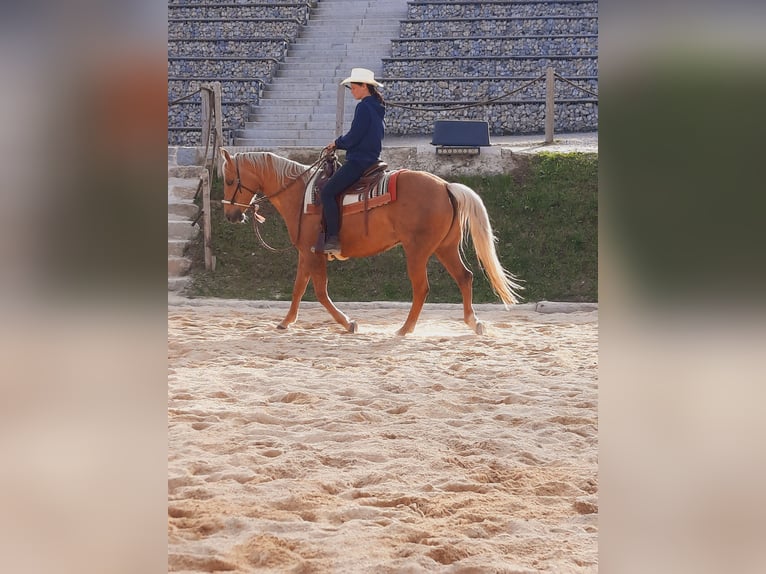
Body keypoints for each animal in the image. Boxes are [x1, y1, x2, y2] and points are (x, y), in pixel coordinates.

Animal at [219, 148, 522, 335]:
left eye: (230, 179)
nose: (231, 215)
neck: (301, 194)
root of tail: (446, 186)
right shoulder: (307, 253)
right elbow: (298, 289)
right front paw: (285, 322)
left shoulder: (312, 253)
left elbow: (319, 292)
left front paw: (348, 323)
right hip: (445, 248)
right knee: (465, 277)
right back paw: (473, 322)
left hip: (417, 251)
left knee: (422, 288)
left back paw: (405, 329)